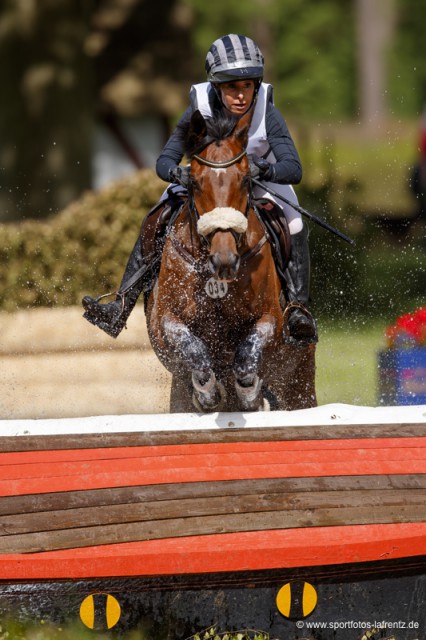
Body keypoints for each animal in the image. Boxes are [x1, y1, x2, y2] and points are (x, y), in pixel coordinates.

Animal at [146, 107, 316, 412]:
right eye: (195, 182)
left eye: (246, 179)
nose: (224, 261)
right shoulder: (165, 319)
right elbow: (193, 349)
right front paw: (208, 393)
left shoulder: (271, 319)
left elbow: (247, 356)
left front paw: (250, 396)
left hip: (300, 381)